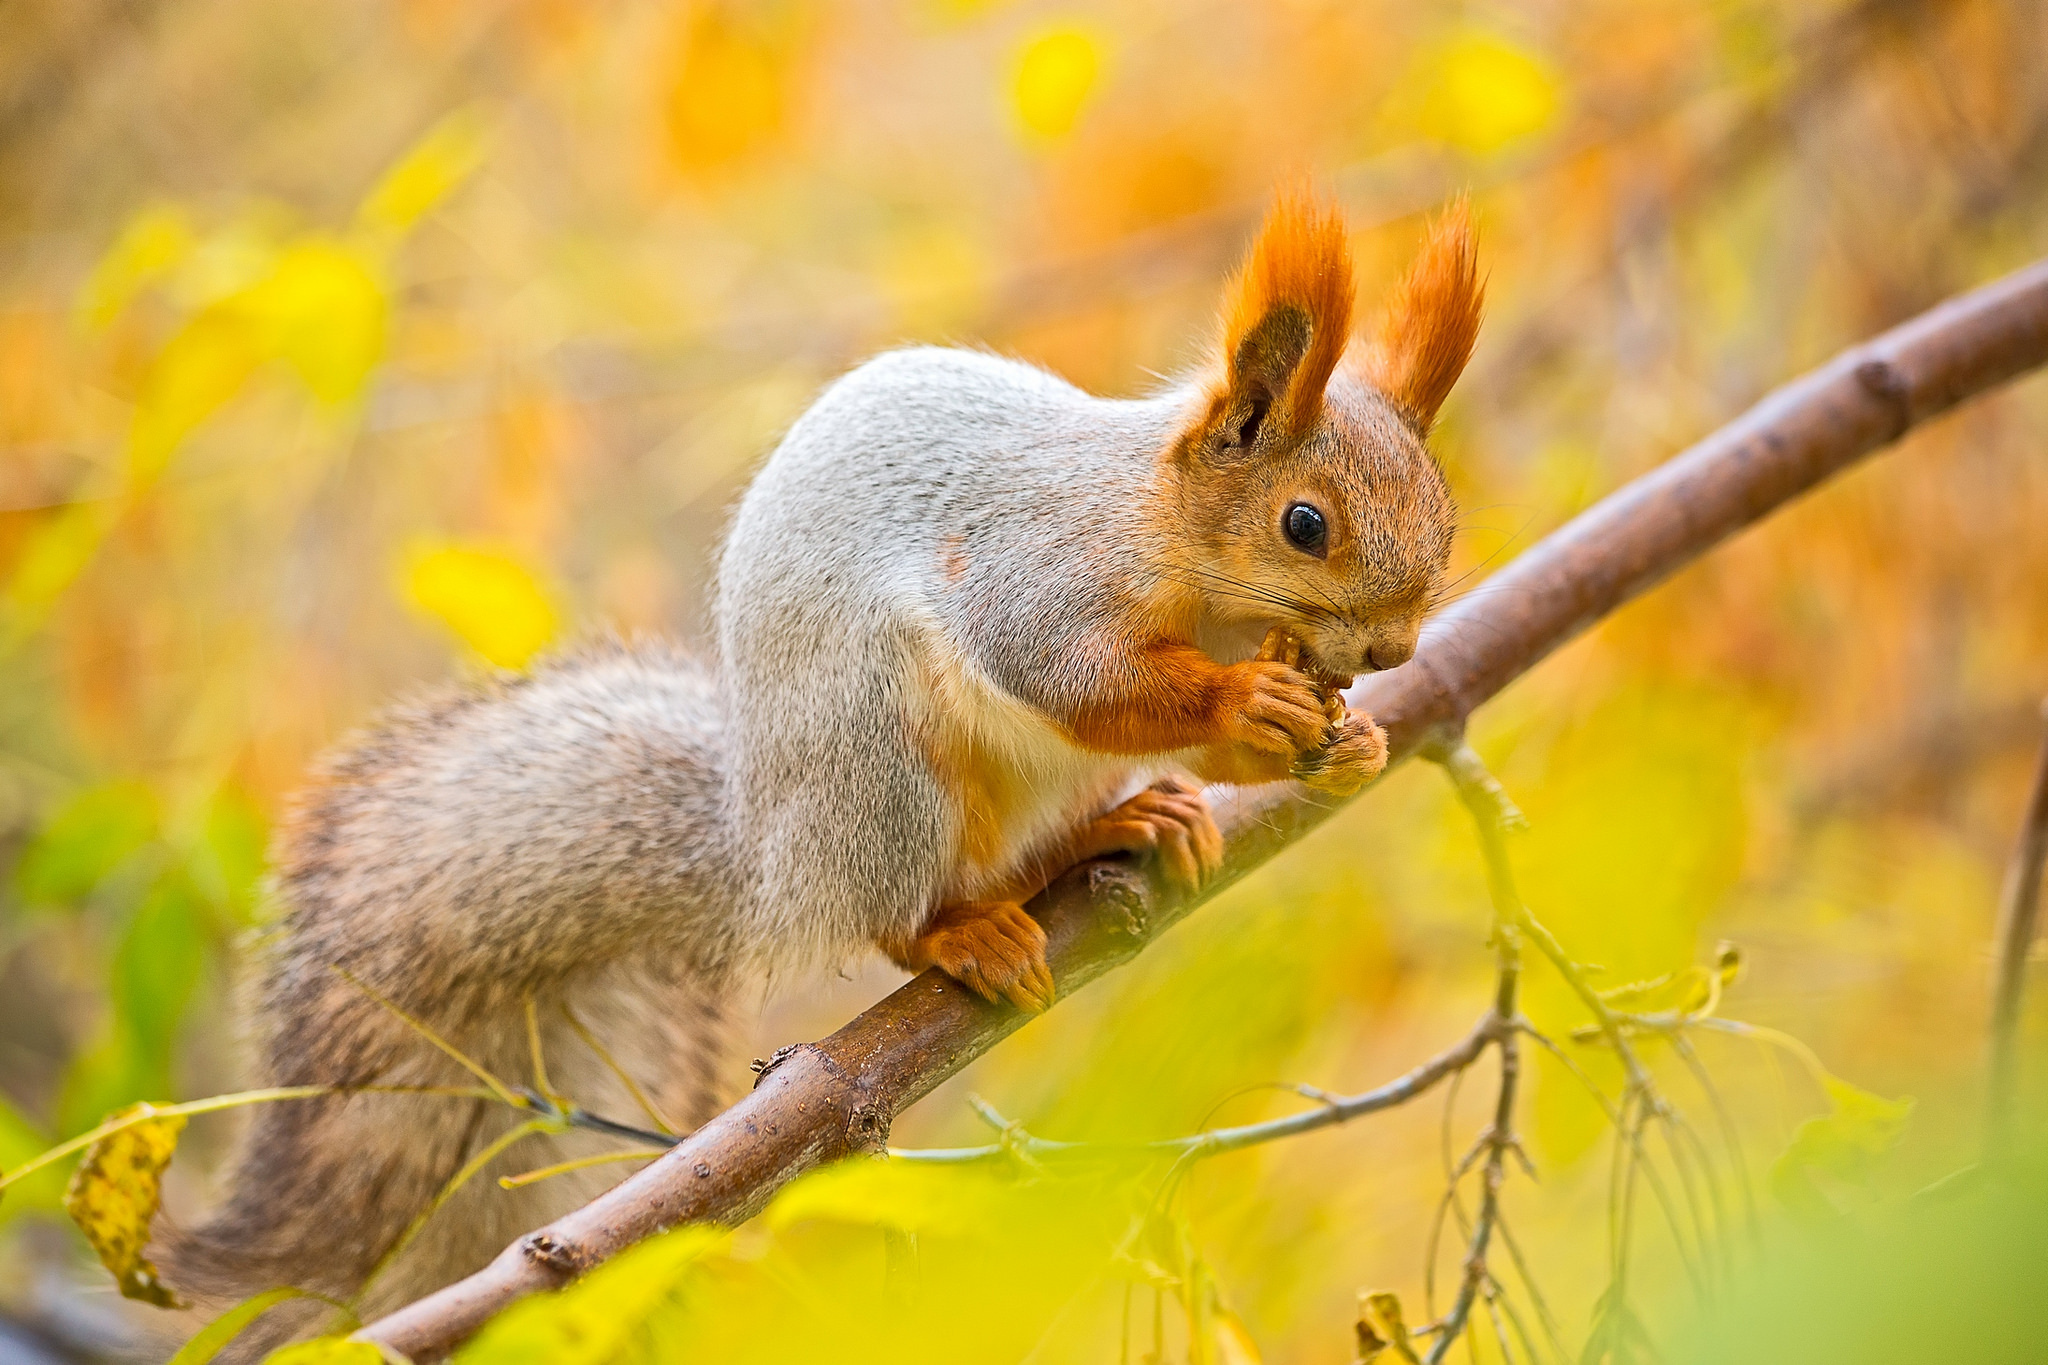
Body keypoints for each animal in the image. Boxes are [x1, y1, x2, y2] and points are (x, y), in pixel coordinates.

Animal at [155, 189, 1474, 1342]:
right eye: (1303, 524)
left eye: (1444, 516)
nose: (1393, 651)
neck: (1193, 572)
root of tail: (773, 857)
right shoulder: (1035, 576)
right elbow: (1072, 678)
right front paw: (1247, 703)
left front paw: (1350, 740)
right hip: (880, 760)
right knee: (889, 910)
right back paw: (960, 933)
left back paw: (1128, 825)